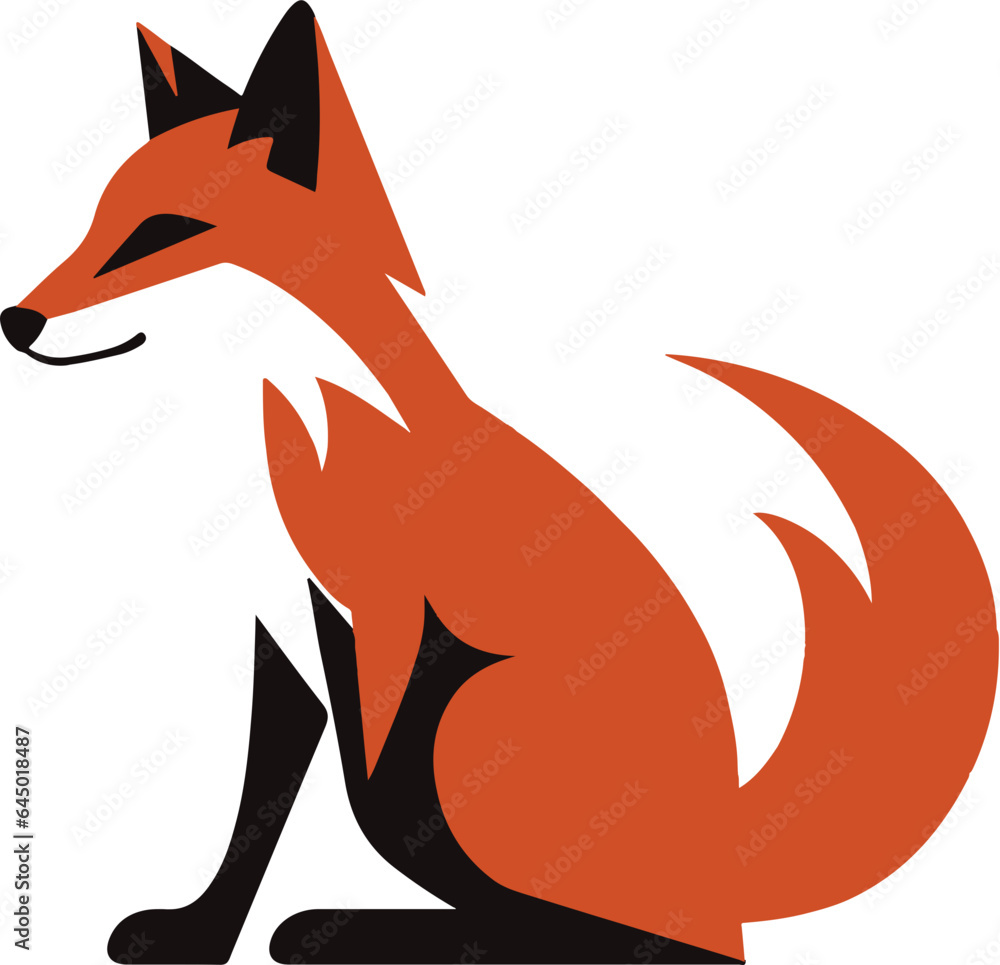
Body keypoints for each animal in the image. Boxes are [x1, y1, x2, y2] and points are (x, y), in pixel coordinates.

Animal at [2, 4, 996, 964]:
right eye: (95, 223)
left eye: (162, 234)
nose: (17, 320)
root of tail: (736, 862)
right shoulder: (276, 624)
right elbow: (260, 796)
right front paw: (197, 935)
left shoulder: (382, 621)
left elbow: (324, 782)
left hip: (473, 720)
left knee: (628, 937)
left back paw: (366, 930)